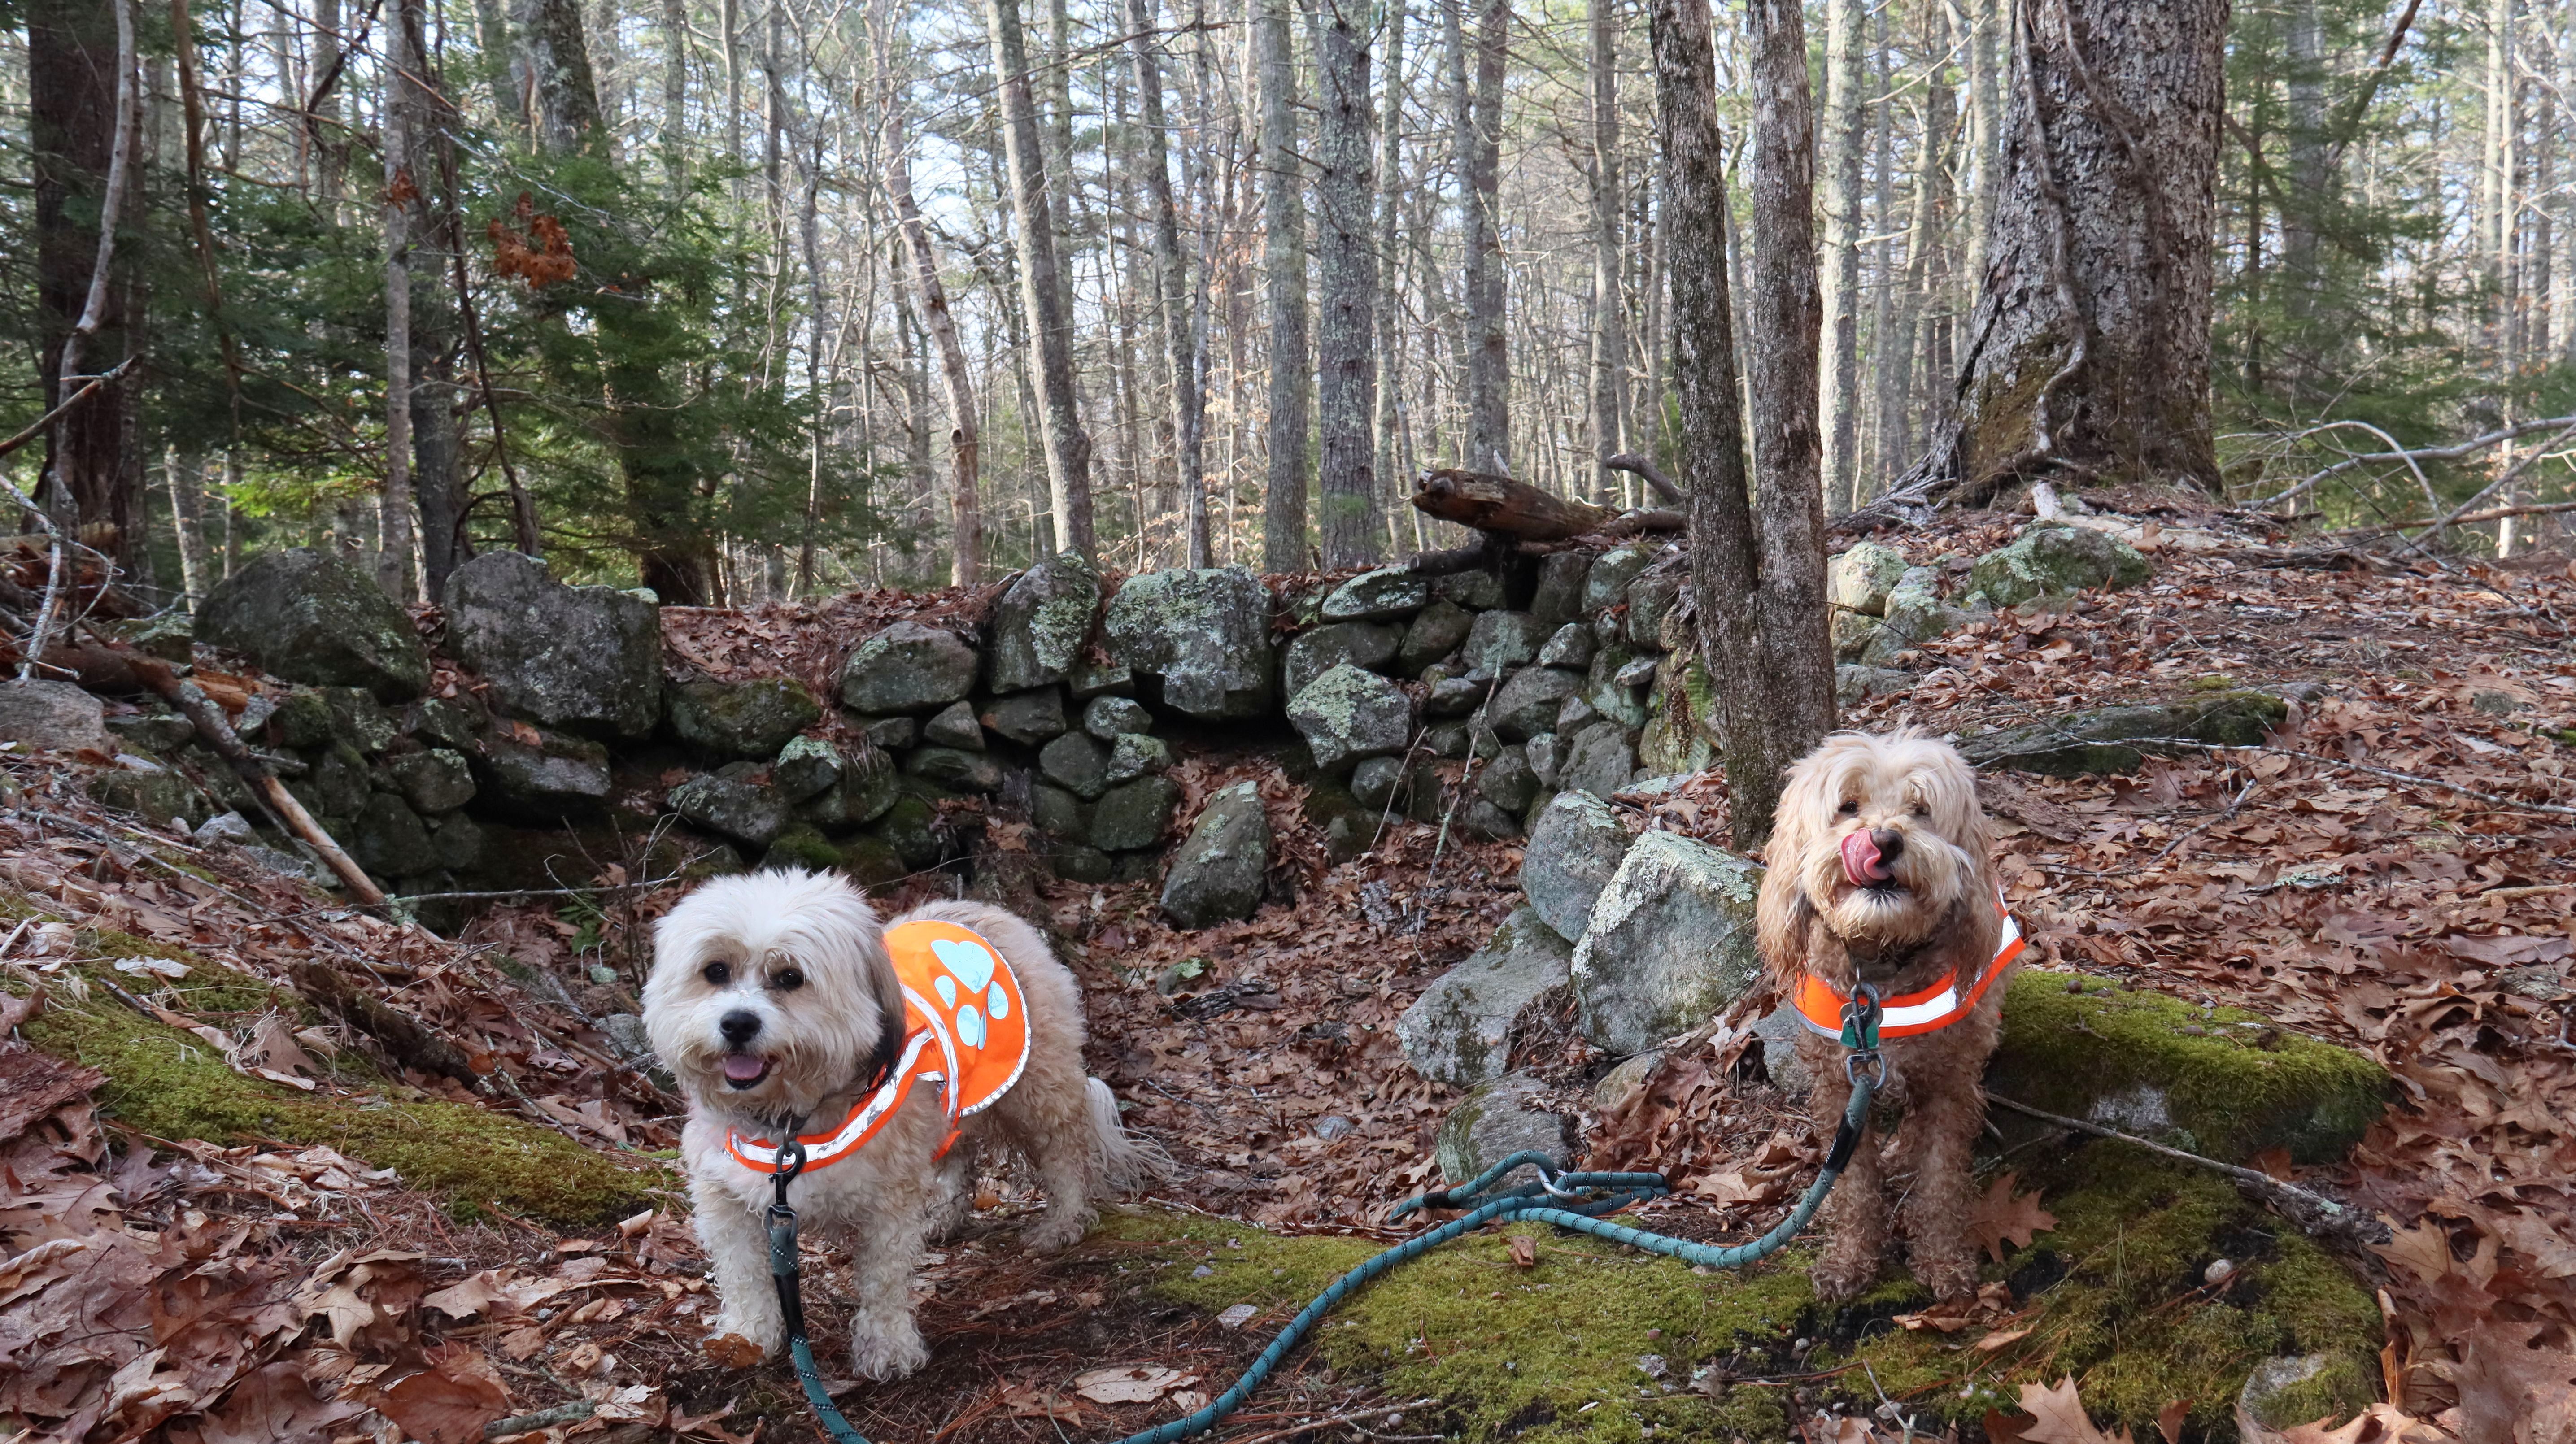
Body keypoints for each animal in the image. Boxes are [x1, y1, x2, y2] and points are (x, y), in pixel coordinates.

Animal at [643, 868, 1157, 1379]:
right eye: (715, 971)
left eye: (790, 977)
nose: (737, 1024)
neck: (788, 1118)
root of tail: (982, 908)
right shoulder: (724, 1200)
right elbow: (743, 1274)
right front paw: (745, 1337)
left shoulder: (887, 1202)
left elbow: (884, 1278)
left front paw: (887, 1346)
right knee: (958, 1152)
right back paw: (946, 1216)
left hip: (1038, 1087)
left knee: (1065, 1150)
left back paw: (1063, 1222)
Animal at [1755, 730, 2023, 1304]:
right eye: (1847, 806)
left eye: (1921, 811)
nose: (1883, 840)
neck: (1880, 961)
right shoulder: (1840, 1086)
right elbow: (1853, 1182)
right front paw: (1852, 1260)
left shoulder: (1949, 1084)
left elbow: (1940, 1178)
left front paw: (1943, 1261)